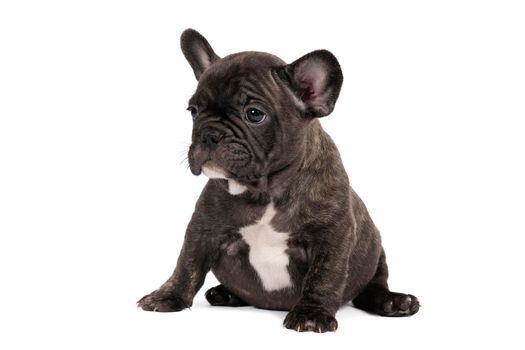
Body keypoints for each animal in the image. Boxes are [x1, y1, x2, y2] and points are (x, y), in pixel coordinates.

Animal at [137, 28, 420, 332]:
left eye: (254, 114)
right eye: (194, 111)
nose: (209, 134)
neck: (264, 191)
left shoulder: (332, 237)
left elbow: (324, 277)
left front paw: (311, 314)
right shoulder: (202, 228)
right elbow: (187, 264)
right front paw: (167, 296)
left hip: (376, 253)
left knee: (373, 287)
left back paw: (394, 302)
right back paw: (224, 294)